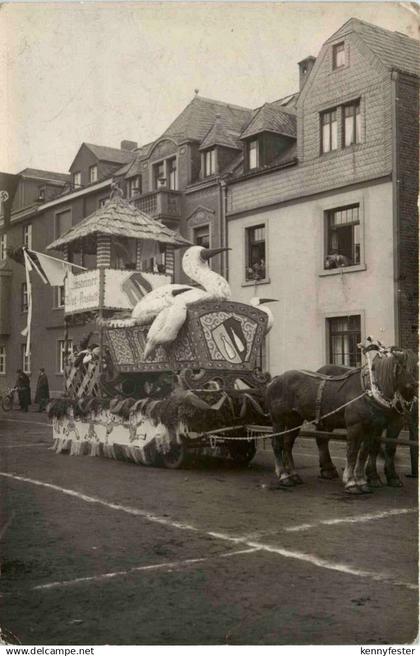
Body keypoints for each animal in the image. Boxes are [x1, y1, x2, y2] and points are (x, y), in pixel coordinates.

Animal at [266, 348, 416, 492]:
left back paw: (294, 475)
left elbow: (364, 452)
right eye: (412, 367)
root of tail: (275, 380)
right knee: (277, 444)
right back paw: (284, 476)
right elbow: (352, 452)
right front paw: (351, 482)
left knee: (288, 444)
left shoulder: (372, 428)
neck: (369, 391)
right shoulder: (355, 427)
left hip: (295, 420)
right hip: (278, 420)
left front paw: (362, 481)